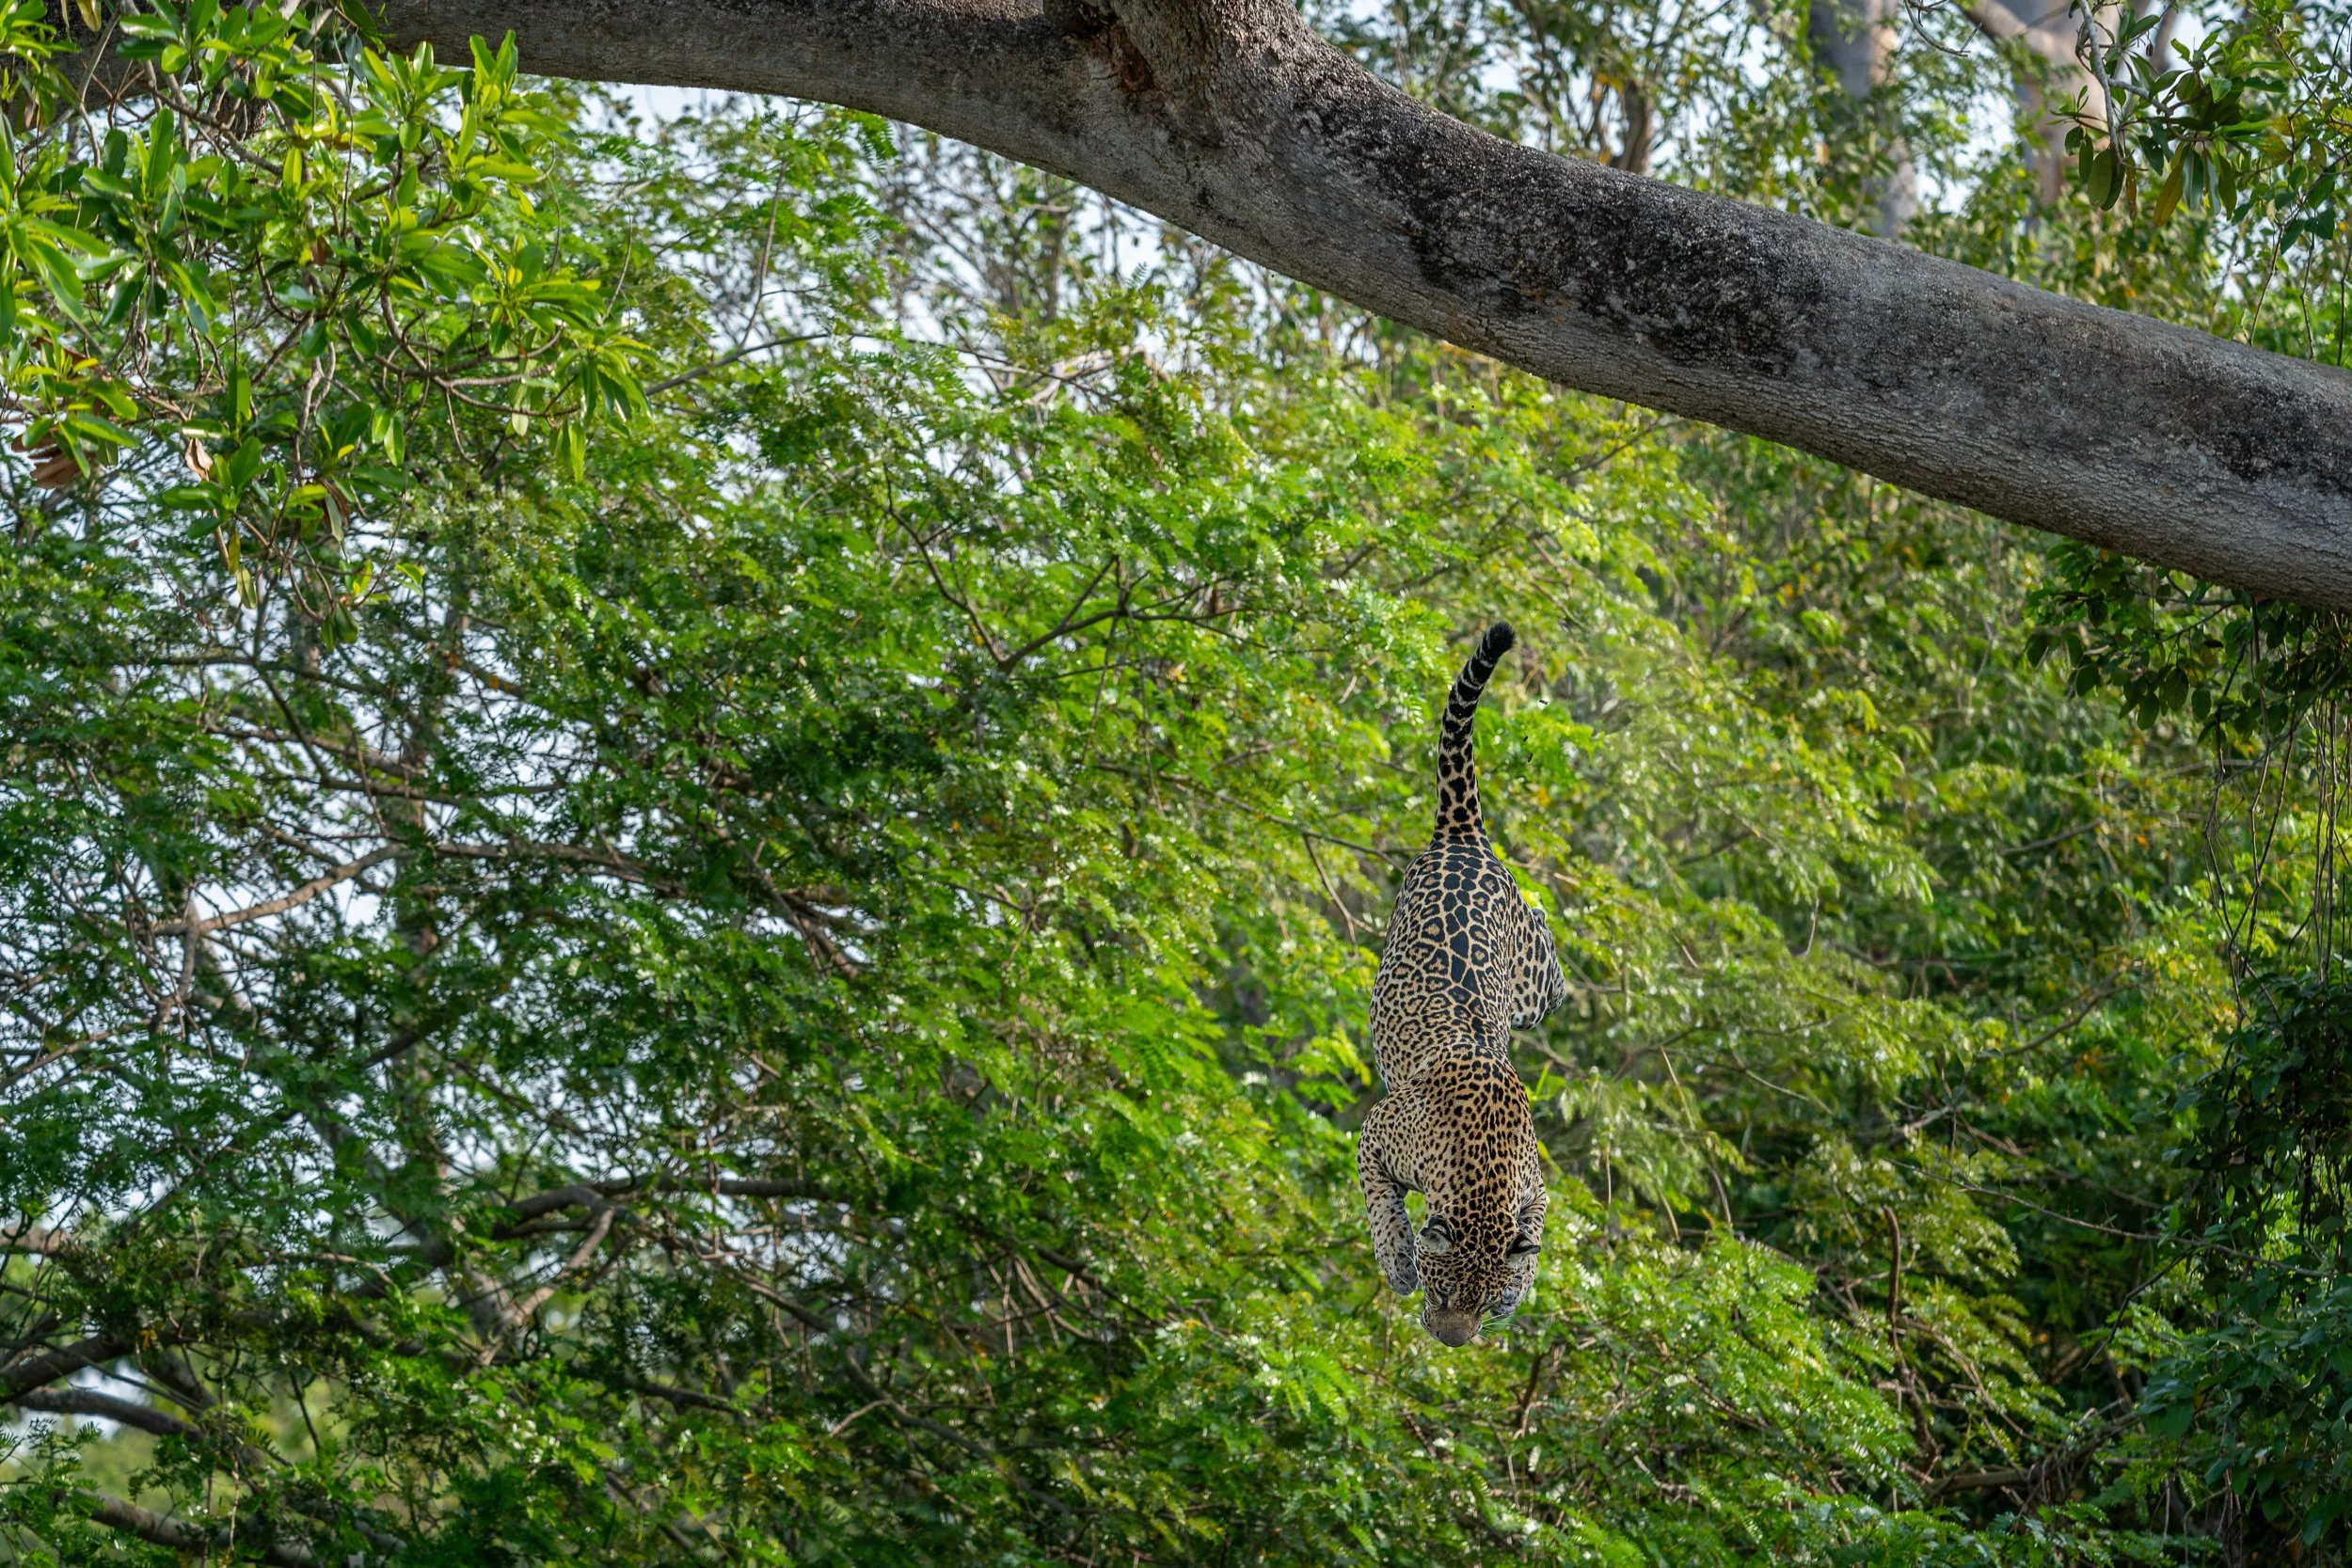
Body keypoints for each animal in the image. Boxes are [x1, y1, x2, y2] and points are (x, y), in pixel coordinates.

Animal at [1358, 620, 1568, 1347]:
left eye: (1481, 1299)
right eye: (1443, 1288)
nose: (1453, 1338)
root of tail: (1464, 838)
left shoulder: (1536, 1186)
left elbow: (1532, 1232)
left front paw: (1521, 1282)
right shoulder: (1377, 1131)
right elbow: (1383, 1205)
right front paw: (1397, 1260)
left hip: (1527, 991)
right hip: (1532, 989)